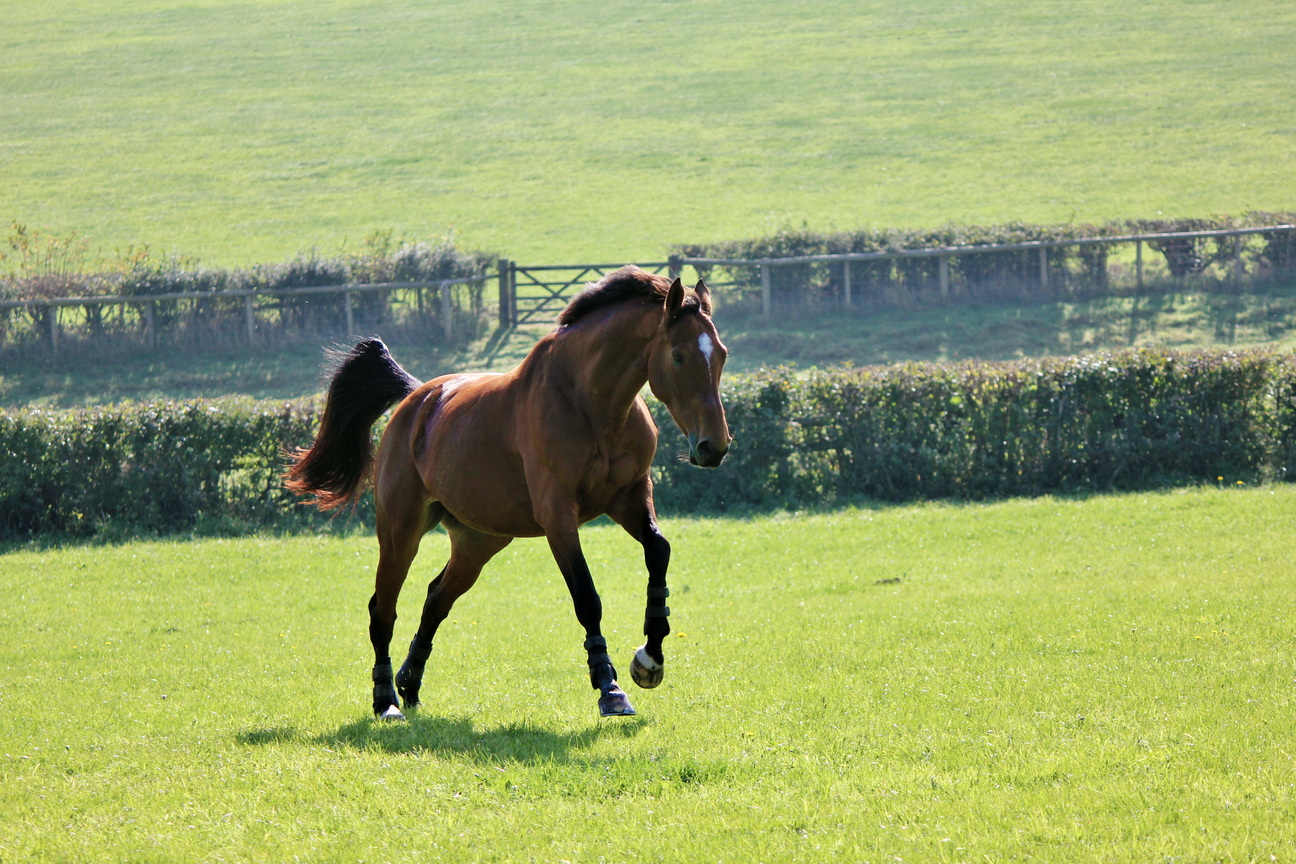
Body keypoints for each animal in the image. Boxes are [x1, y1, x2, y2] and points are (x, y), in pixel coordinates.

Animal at [283, 266, 730, 720]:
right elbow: (587, 597)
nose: (713, 446)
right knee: (383, 610)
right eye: (678, 356)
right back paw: (386, 699)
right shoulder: (558, 515)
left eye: (722, 355)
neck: (590, 405)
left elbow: (658, 551)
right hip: (400, 532)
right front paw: (610, 687)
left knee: (436, 599)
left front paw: (649, 660)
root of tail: (416, 398)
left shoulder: (630, 497)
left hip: (478, 541)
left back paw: (409, 683)